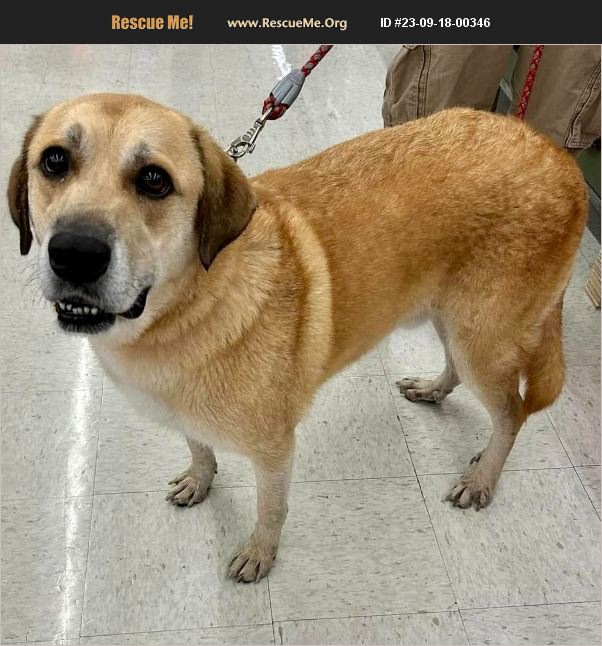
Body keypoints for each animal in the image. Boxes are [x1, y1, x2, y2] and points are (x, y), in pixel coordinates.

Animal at [8, 93, 587, 582]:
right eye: (55, 161)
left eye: (154, 179)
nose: (74, 253)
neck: (195, 304)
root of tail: (558, 157)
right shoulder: (186, 412)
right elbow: (199, 447)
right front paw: (201, 477)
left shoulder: (274, 450)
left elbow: (271, 509)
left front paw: (260, 553)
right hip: (452, 320)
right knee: (455, 369)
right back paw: (434, 388)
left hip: (481, 339)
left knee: (511, 414)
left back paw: (483, 477)